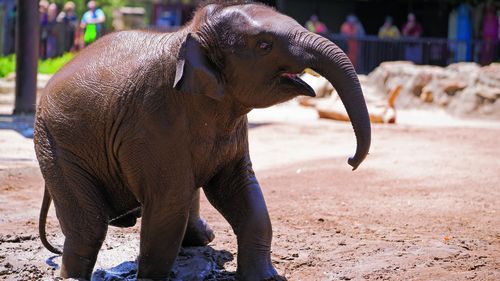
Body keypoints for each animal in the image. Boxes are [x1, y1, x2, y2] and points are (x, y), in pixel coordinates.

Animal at [35, 1, 372, 278]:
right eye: (264, 45)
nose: (351, 161)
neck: (189, 36)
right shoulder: (151, 120)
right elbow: (169, 203)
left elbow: (241, 190)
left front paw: (266, 278)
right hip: (56, 144)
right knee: (89, 227)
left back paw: (202, 240)